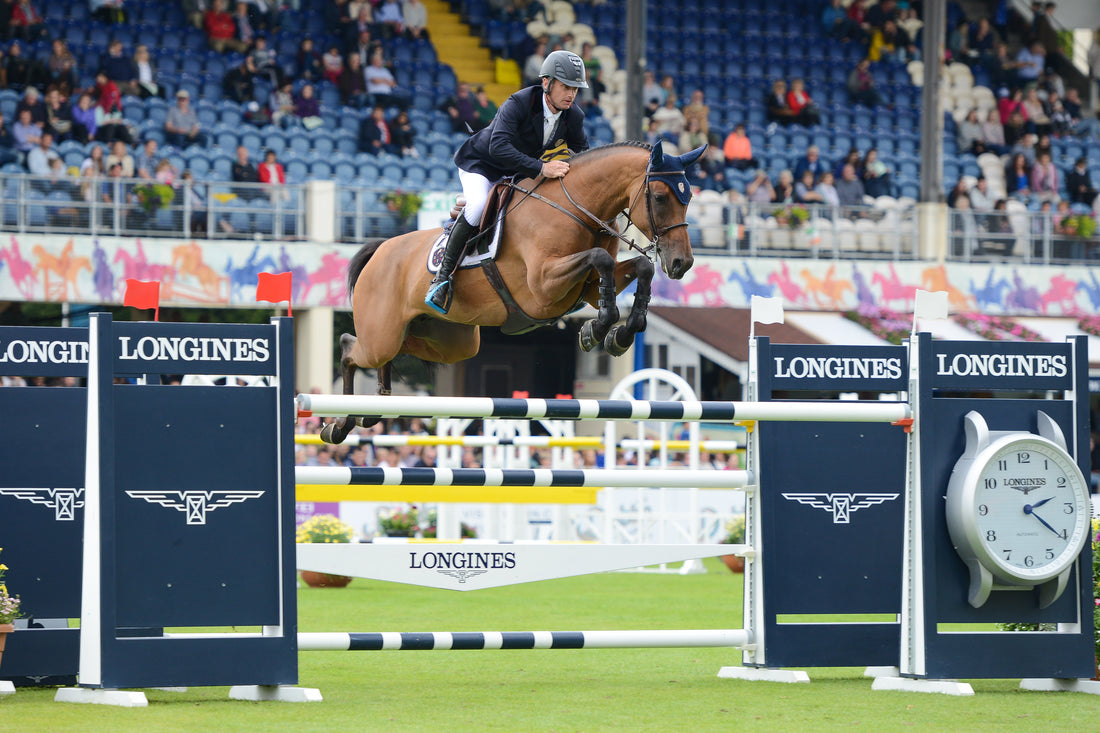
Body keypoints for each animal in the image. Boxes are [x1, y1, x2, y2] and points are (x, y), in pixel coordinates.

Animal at [321, 139, 708, 442]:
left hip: (448, 341)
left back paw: (373, 408)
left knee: (386, 352)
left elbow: (638, 267)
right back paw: (340, 424)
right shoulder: (543, 285)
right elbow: (600, 261)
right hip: (384, 333)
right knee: (351, 348)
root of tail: (381, 249)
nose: (681, 263)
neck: (576, 207)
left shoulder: (587, 289)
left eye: (688, 198)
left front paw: (620, 336)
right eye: (659, 197)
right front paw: (594, 331)